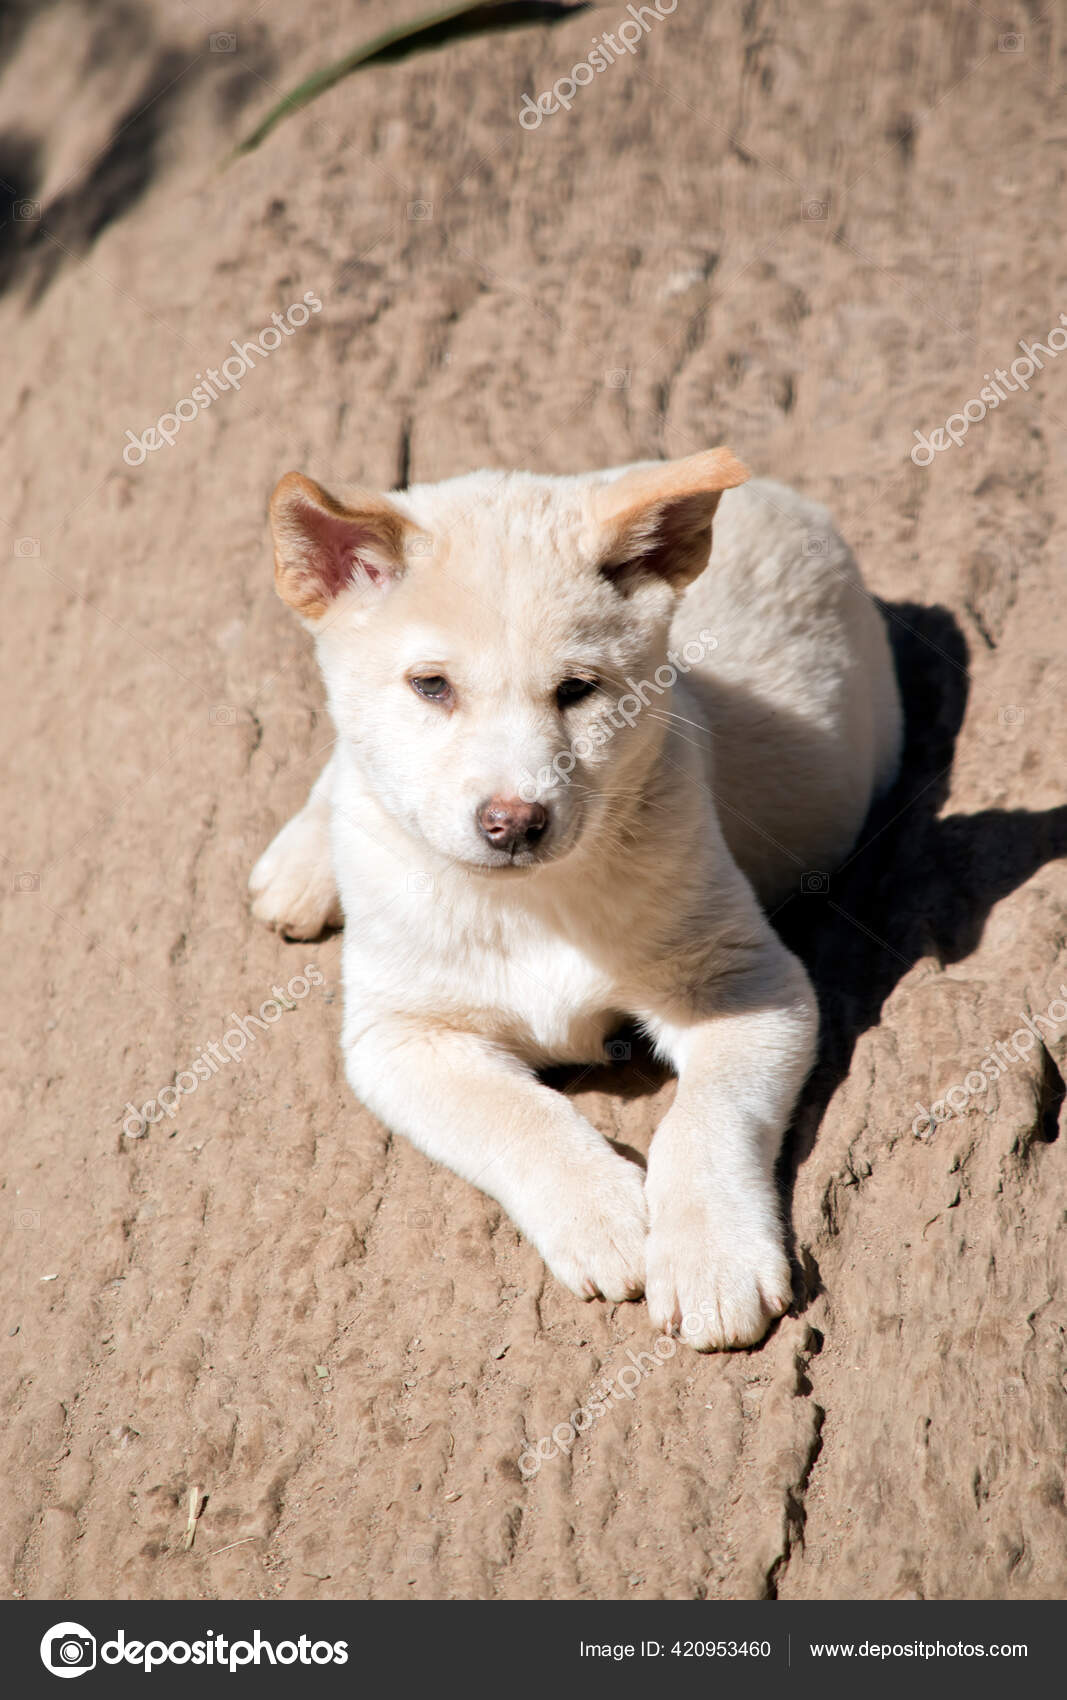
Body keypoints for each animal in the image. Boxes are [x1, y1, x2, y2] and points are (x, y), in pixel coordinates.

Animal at [251, 445, 897, 1346]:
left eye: (577, 691)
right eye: (430, 686)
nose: (514, 822)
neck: (532, 904)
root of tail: (779, 493)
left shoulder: (744, 983)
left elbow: (707, 1118)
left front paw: (711, 1257)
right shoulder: (401, 1034)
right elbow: (515, 1116)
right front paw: (605, 1217)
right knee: (347, 763)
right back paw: (306, 861)